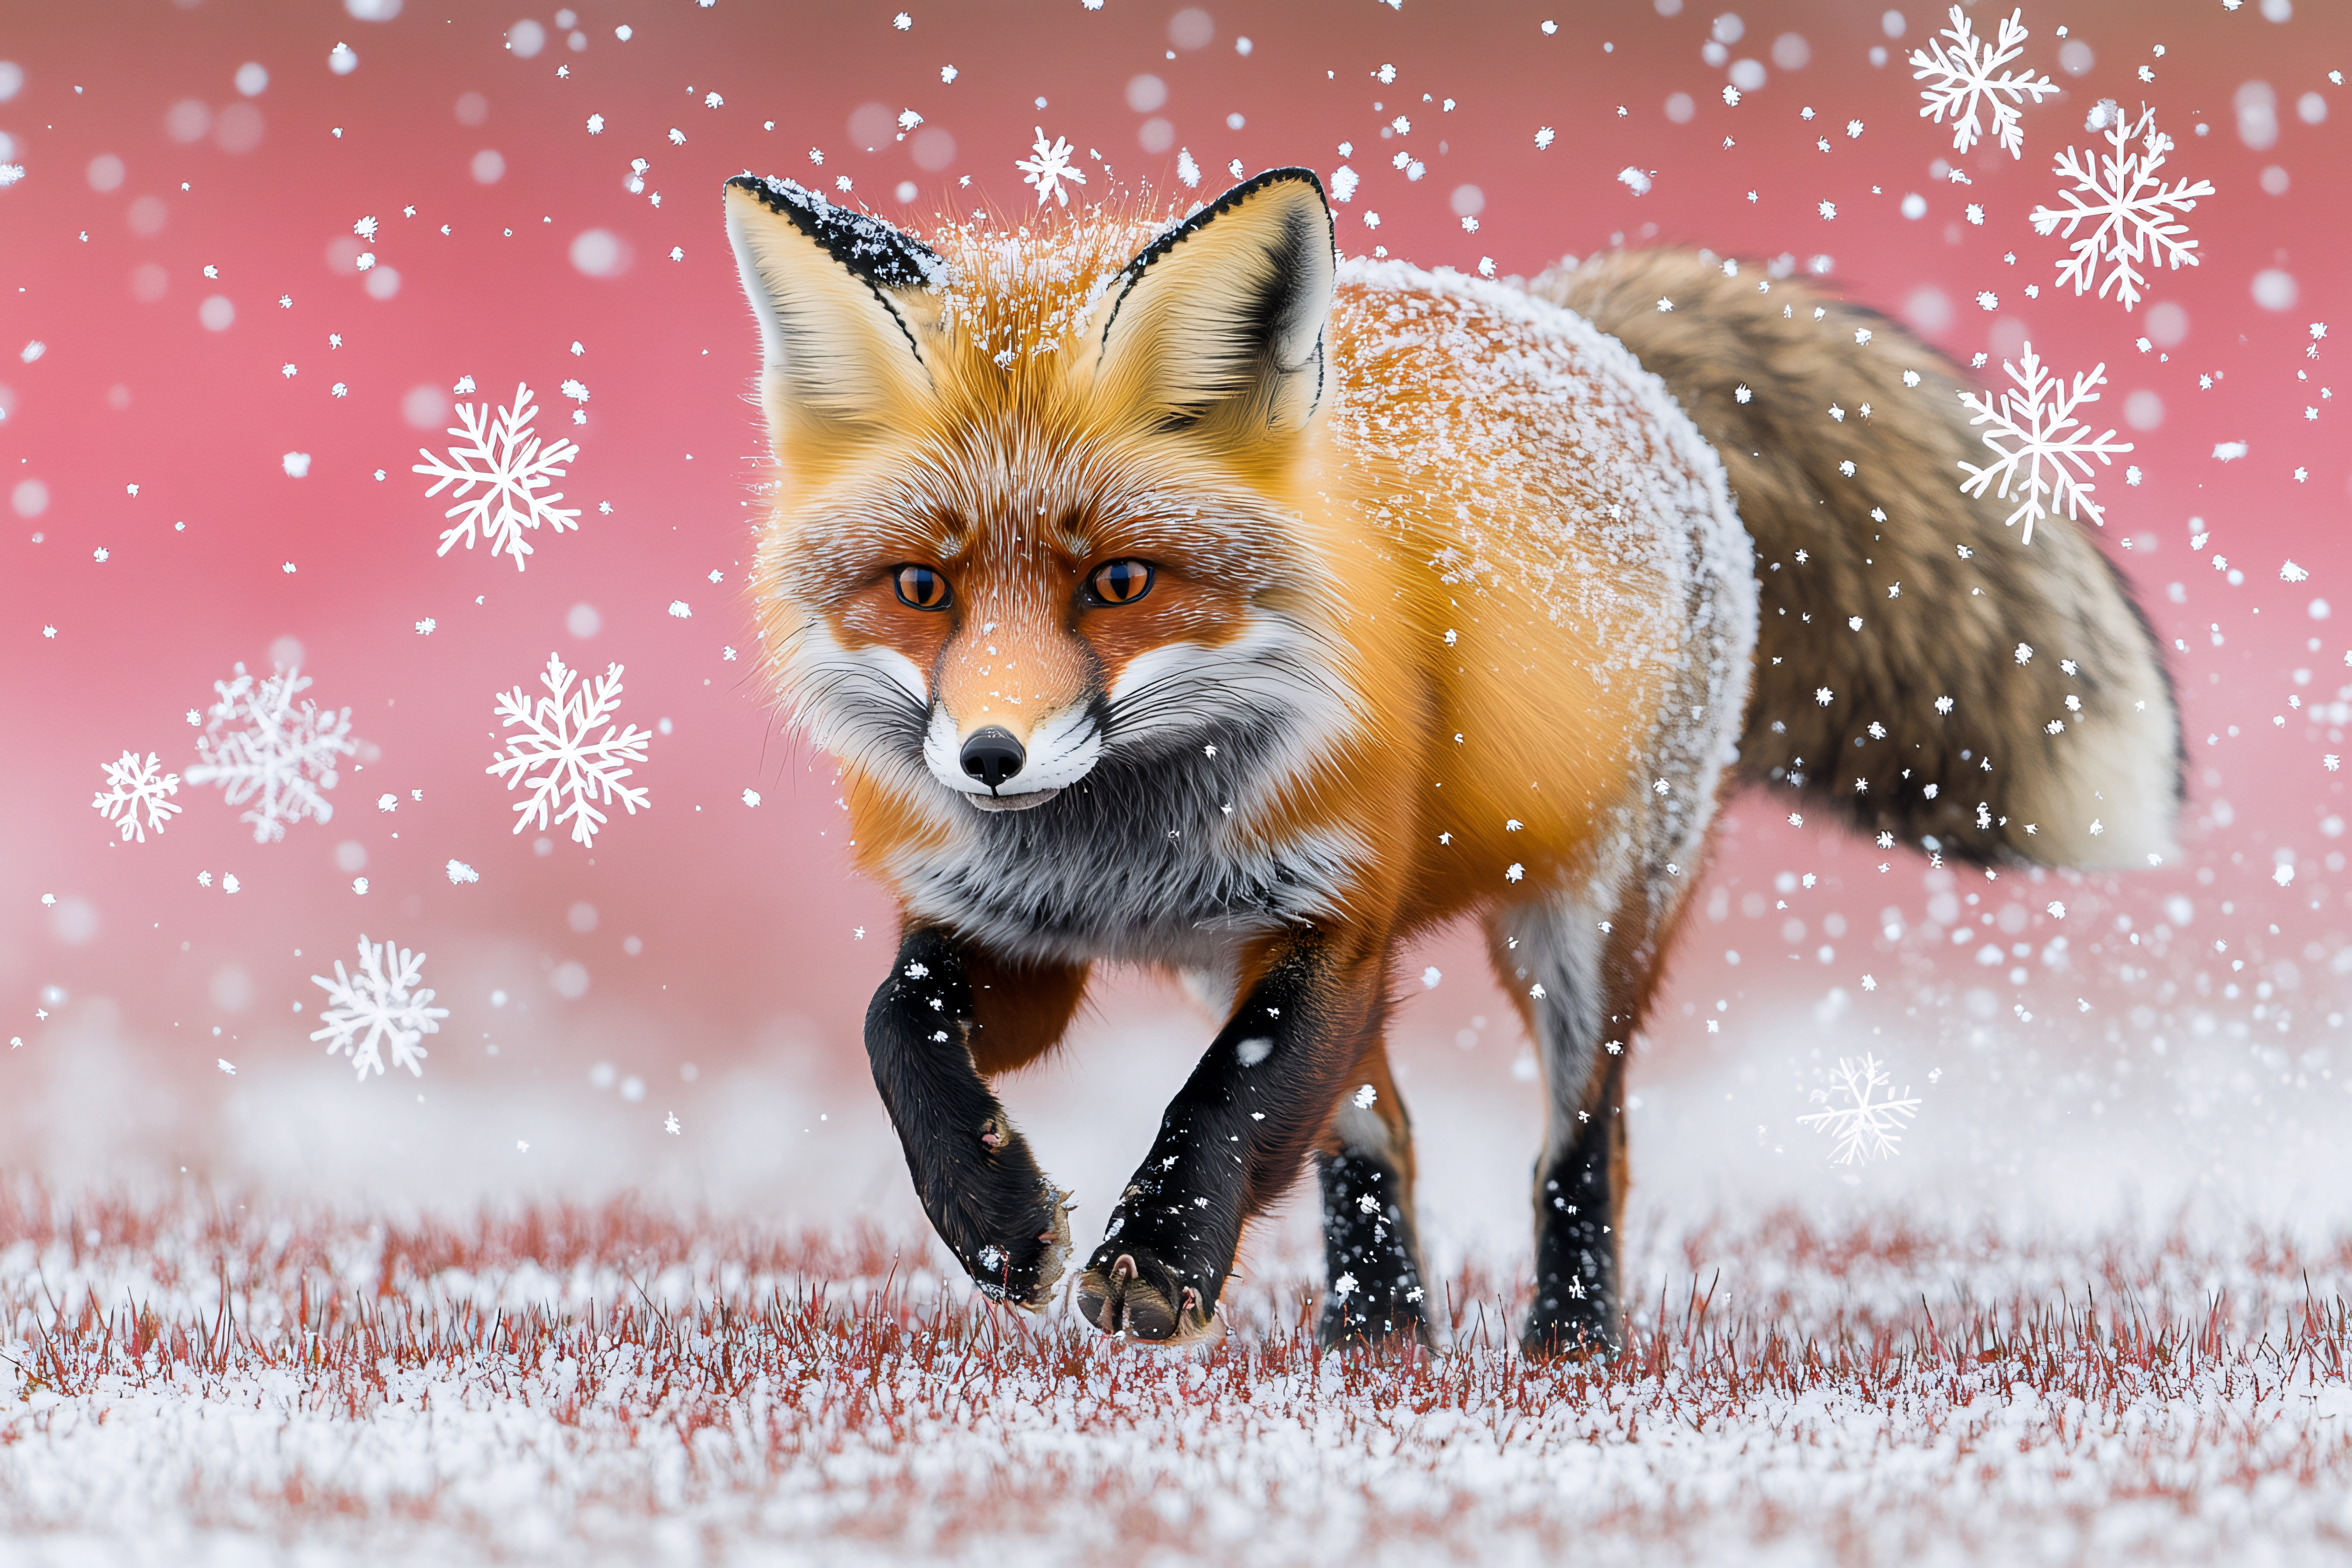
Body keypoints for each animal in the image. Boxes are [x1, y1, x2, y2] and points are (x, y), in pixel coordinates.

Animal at [722, 166, 2181, 1356]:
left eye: (1121, 584)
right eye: (920, 588)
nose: (989, 758)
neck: (1114, 852)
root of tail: (1581, 333)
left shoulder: (1335, 915)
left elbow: (1226, 1106)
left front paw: (1156, 1261)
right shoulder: (1023, 936)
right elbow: (896, 1025)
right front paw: (994, 1214)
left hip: (1583, 925)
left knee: (1581, 1144)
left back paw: (1569, 1340)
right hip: (1247, 960)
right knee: (1384, 1134)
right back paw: (1376, 1335)